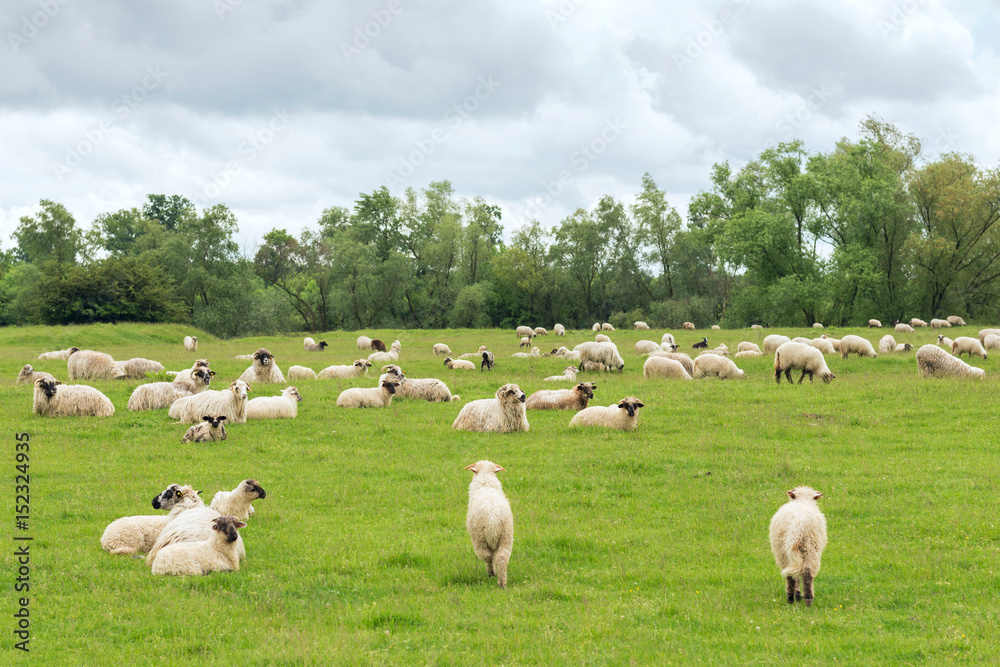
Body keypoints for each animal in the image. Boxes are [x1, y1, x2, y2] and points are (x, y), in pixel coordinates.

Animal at [466, 460, 516, 588]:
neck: (486, 483)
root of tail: (493, 518)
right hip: (506, 537)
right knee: (502, 557)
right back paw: (502, 583)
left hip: (480, 538)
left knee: (487, 556)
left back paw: (492, 572)